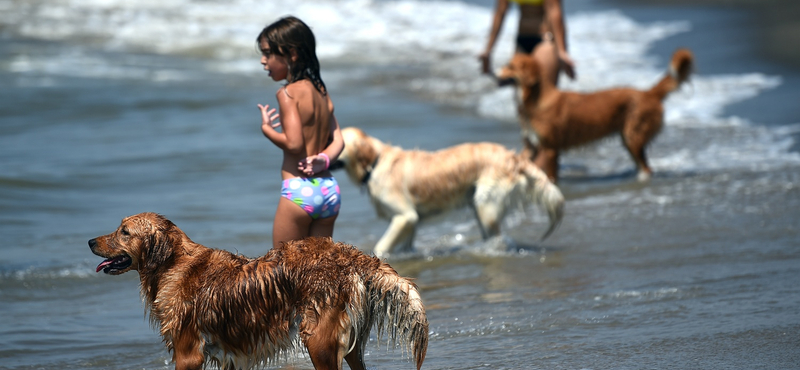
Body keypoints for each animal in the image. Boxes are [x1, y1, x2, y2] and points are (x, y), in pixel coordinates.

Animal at [88, 212, 428, 370]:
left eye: (124, 232)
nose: (90, 241)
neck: (172, 264)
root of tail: (351, 255)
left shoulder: (188, 353)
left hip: (318, 341)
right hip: (350, 346)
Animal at [330, 127, 564, 258]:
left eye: (335, 141)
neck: (374, 163)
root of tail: (513, 158)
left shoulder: (405, 216)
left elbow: (381, 246)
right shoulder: (411, 222)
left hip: (485, 205)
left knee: (498, 239)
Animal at [496, 48, 692, 181]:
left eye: (510, 67)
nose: (495, 74)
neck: (536, 99)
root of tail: (648, 93)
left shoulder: (550, 149)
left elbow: (551, 177)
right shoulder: (532, 147)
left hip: (633, 138)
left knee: (646, 168)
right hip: (628, 139)